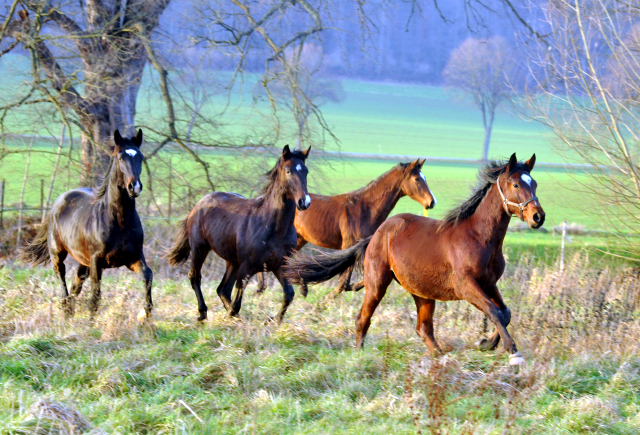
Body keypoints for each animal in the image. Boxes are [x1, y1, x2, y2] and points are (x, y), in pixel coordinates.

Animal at [20, 129, 153, 320]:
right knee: (63, 282)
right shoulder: (97, 261)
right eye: (120, 157)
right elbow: (95, 296)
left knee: (75, 286)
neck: (119, 222)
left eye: (140, 157)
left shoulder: (133, 257)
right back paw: (66, 313)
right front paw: (91, 324)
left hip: (83, 261)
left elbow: (147, 275)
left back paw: (70, 313)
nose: (134, 187)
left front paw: (145, 315)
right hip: (58, 254)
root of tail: (58, 202)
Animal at [168, 146, 312, 324]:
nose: (304, 202)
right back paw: (202, 313)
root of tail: (198, 205)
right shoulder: (247, 266)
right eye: (288, 171)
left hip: (232, 261)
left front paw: (273, 320)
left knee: (222, 289)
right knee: (195, 276)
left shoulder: (280, 264)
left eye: (305, 171)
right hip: (200, 249)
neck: (274, 228)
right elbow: (237, 301)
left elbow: (289, 294)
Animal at [258, 160, 438, 296]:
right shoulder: (350, 245)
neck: (365, 208)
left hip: (300, 239)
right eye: (417, 179)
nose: (432, 202)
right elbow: (344, 282)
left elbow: (352, 281)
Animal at [288, 155, 548, 366]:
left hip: (422, 292)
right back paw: (360, 354)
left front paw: (485, 343)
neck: (479, 237)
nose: (538, 217)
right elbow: (494, 311)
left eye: (534, 183)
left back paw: (440, 357)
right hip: (377, 283)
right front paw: (513, 353)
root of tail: (378, 233)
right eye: (516, 184)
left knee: (423, 328)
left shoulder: (489, 283)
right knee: (363, 318)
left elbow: (505, 312)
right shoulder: (466, 286)